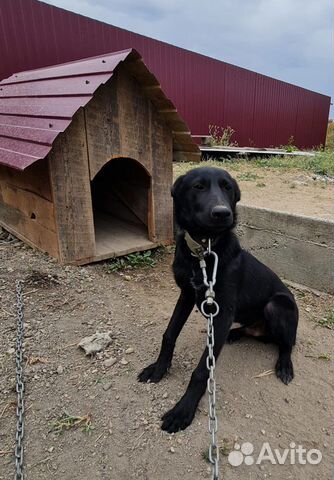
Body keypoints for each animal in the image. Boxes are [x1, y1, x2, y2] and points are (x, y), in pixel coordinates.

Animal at [137, 167, 298, 434]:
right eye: (198, 187)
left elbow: (202, 370)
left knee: (287, 344)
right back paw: (235, 334)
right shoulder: (187, 294)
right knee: (254, 333)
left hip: (278, 305)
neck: (204, 251)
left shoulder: (222, 312)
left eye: (227, 188)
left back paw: (284, 366)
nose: (222, 212)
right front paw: (159, 368)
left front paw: (183, 410)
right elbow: (169, 334)